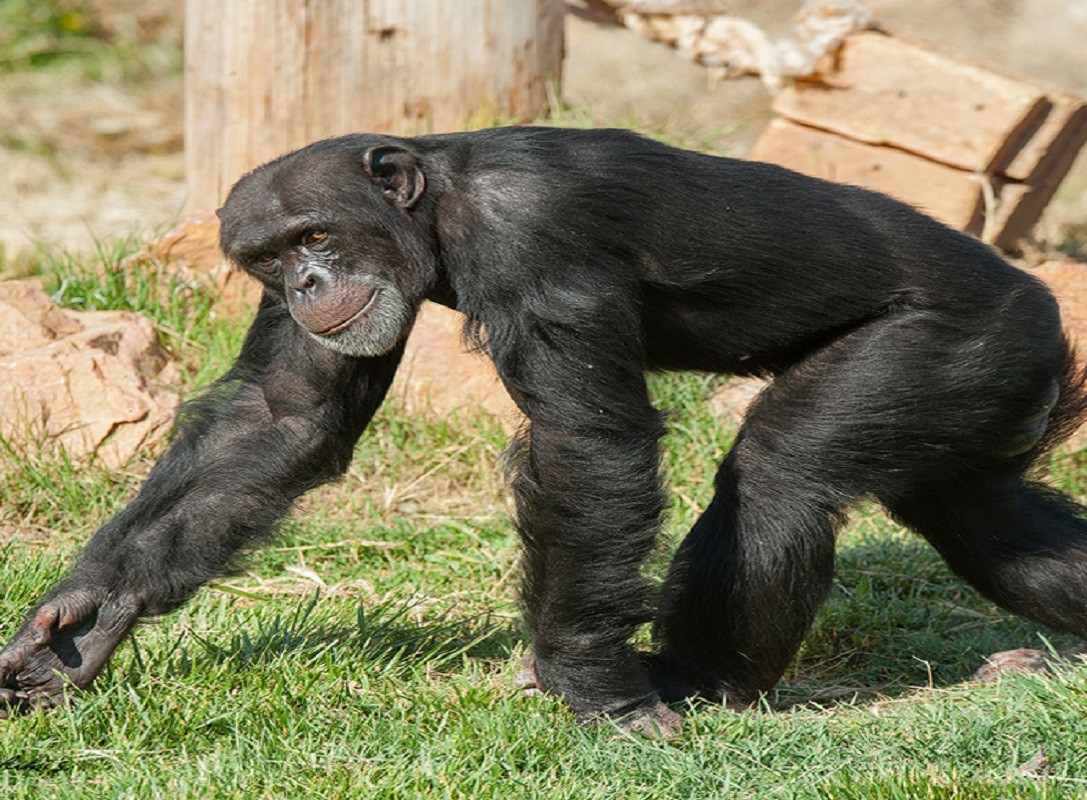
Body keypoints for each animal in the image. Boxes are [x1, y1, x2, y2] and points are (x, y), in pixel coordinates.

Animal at [2, 126, 1087, 739]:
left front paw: (593, 688)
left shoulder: (535, 232)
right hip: (974, 393)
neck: (441, 203)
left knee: (782, 473)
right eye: (269, 257)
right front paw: (82, 618)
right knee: (993, 524)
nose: (306, 283)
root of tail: (1036, 298)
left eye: (316, 235)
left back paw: (692, 679)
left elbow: (586, 443)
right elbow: (282, 420)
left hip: (949, 343)